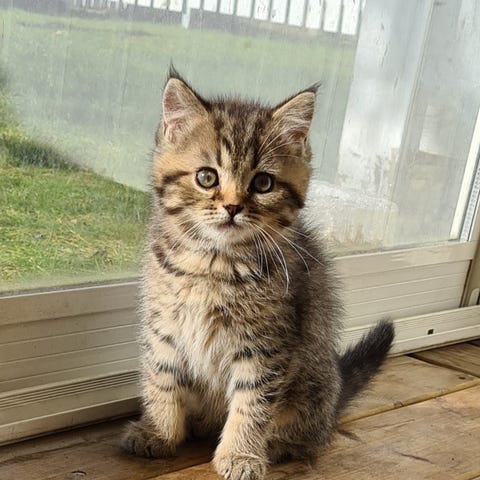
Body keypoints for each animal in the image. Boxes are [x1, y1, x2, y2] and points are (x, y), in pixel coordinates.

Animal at [121, 67, 395, 480]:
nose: (233, 207)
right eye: (207, 177)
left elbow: (251, 403)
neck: (213, 264)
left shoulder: (267, 346)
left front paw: (240, 454)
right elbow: (161, 377)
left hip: (313, 384)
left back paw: (280, 444)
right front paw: (159, 432)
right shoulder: (163, 326)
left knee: (311, 435)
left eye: (263, 183)